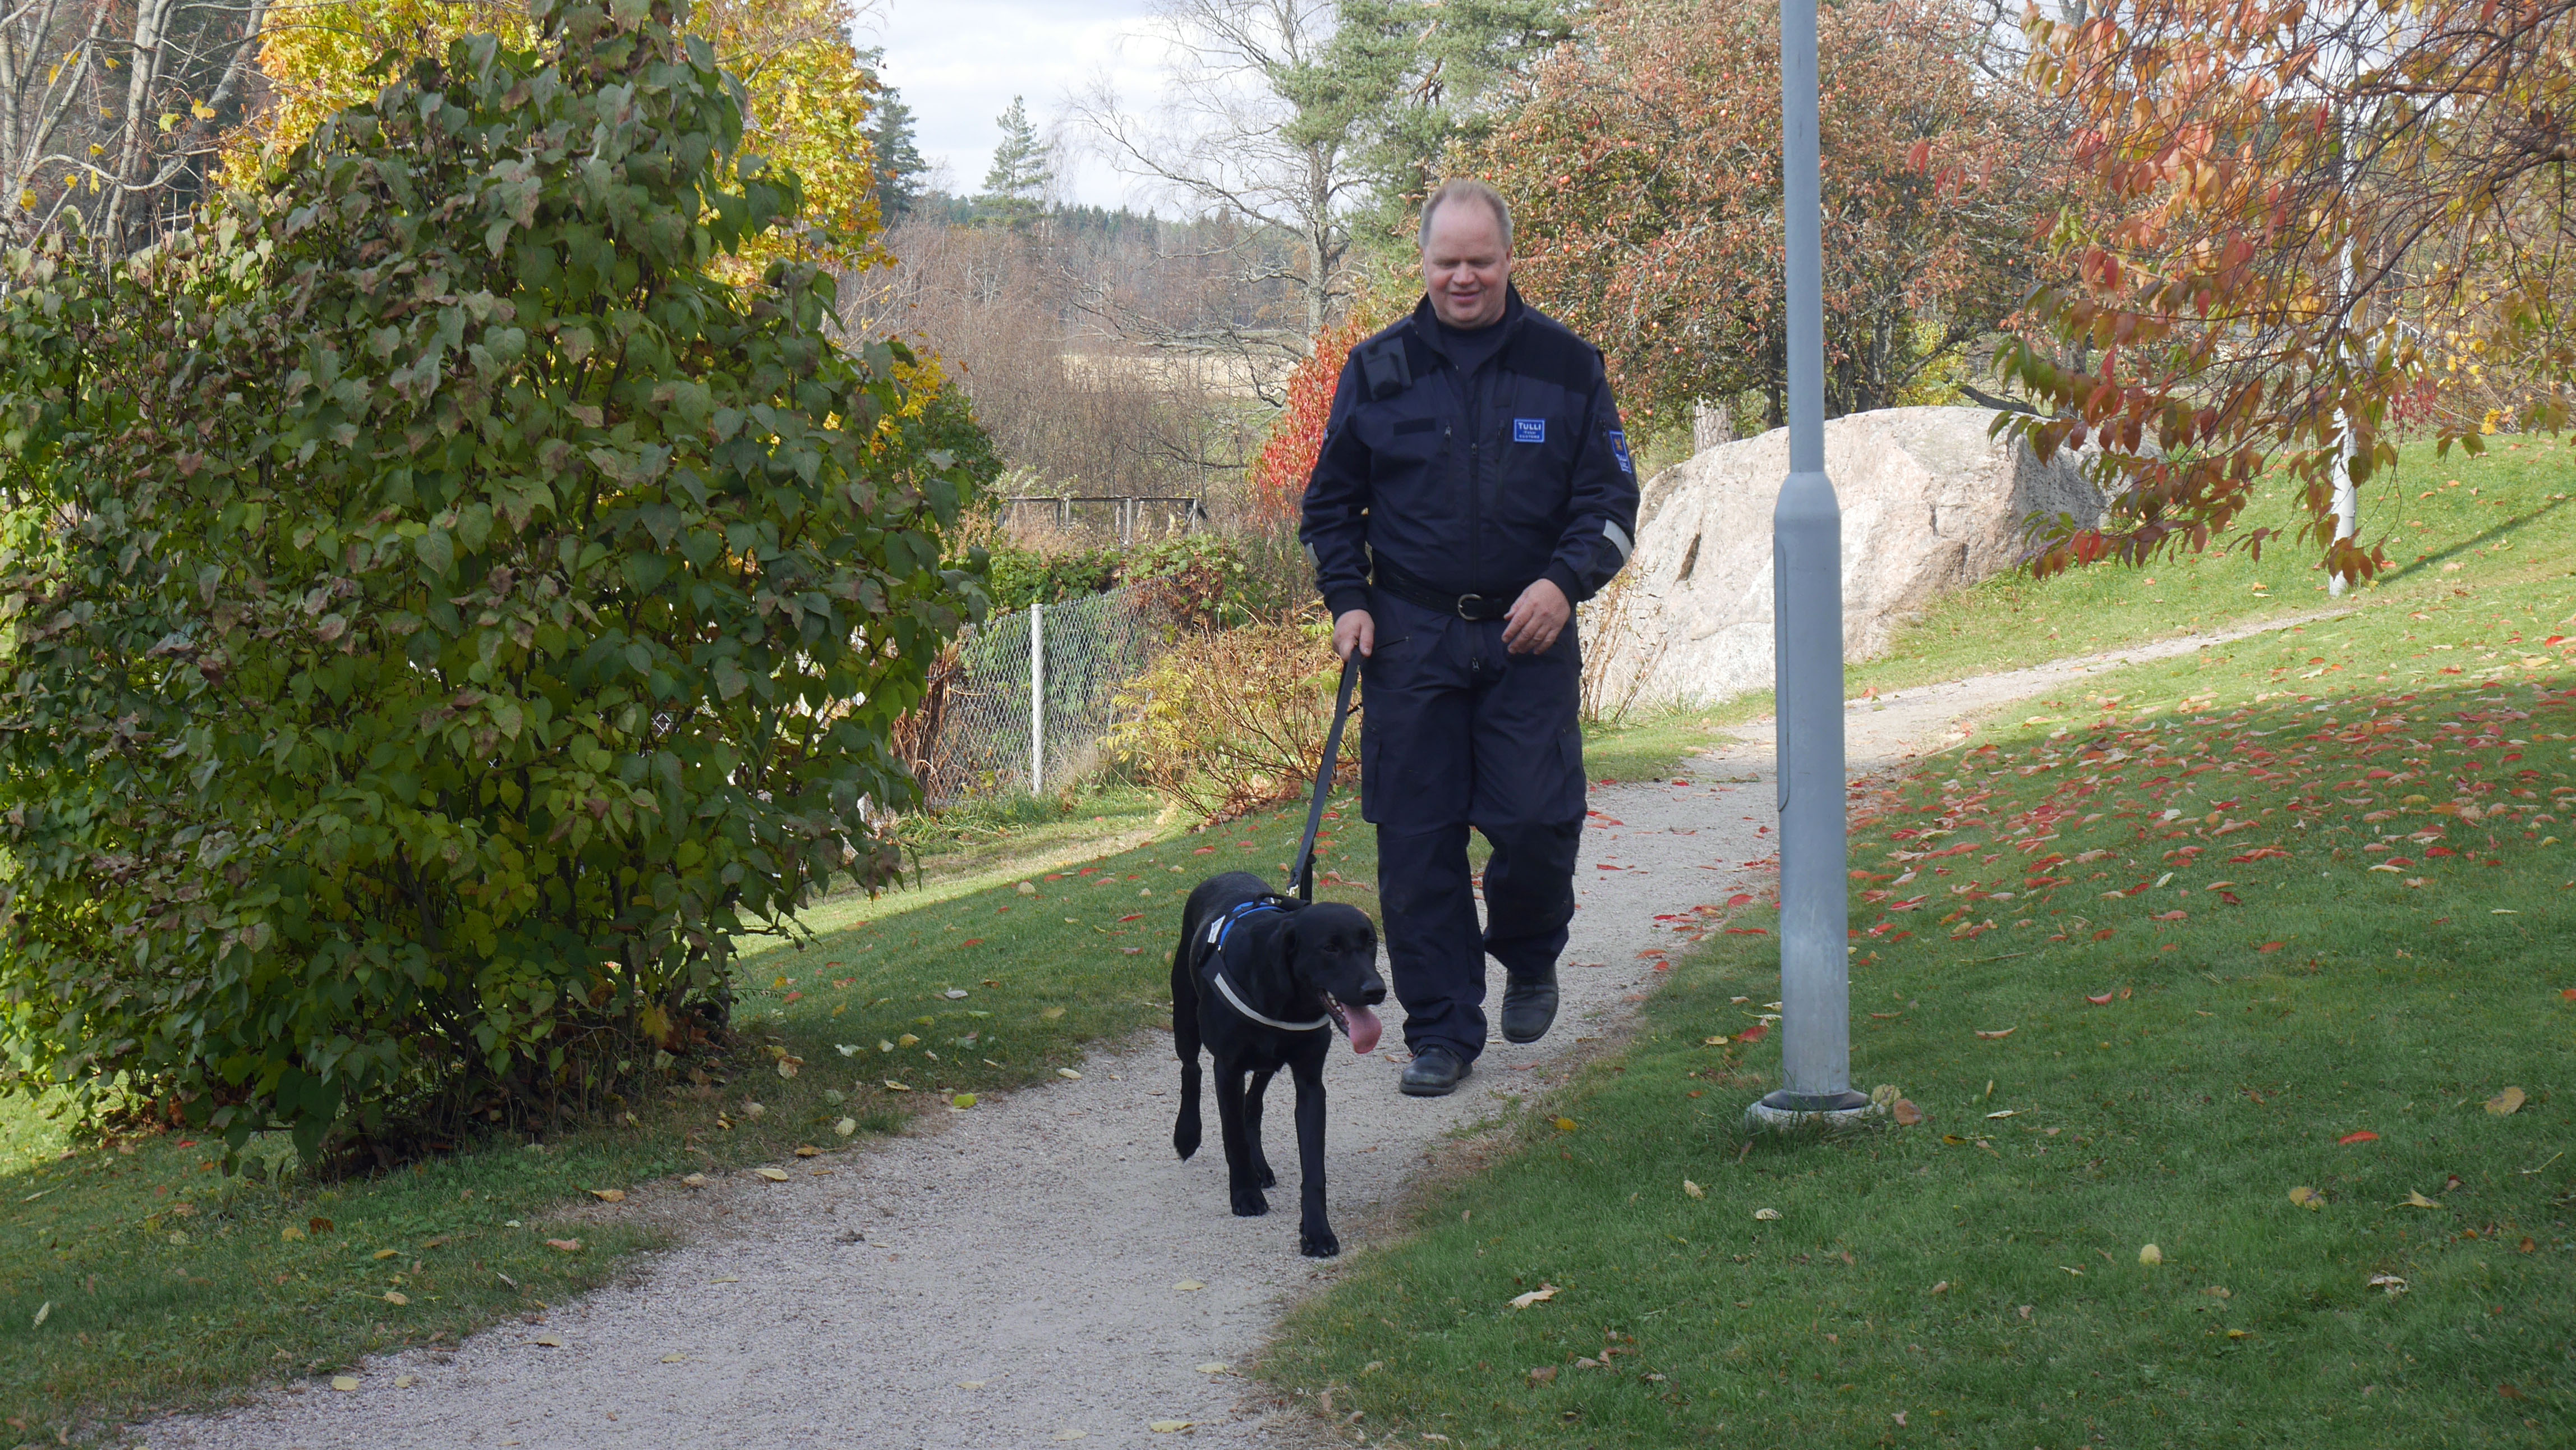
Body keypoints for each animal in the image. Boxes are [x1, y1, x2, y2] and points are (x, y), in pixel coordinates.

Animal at [1180, 875, 1391, 1261]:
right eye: (1330, 948)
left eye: (1370, 942)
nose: (1376, 990)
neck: (1285, 998)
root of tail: (1222, 876)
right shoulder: (1228, 1069)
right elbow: (1232, 1136)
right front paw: (1245, 1195)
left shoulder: (1310, 1082)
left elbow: (1314, 1168)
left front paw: (1317, 1231)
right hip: (1186, 1019)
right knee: (1191, 1069)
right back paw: (1187, 1135)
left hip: (1269, 1062)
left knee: (1252, 1105)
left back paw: (1259, 1166)